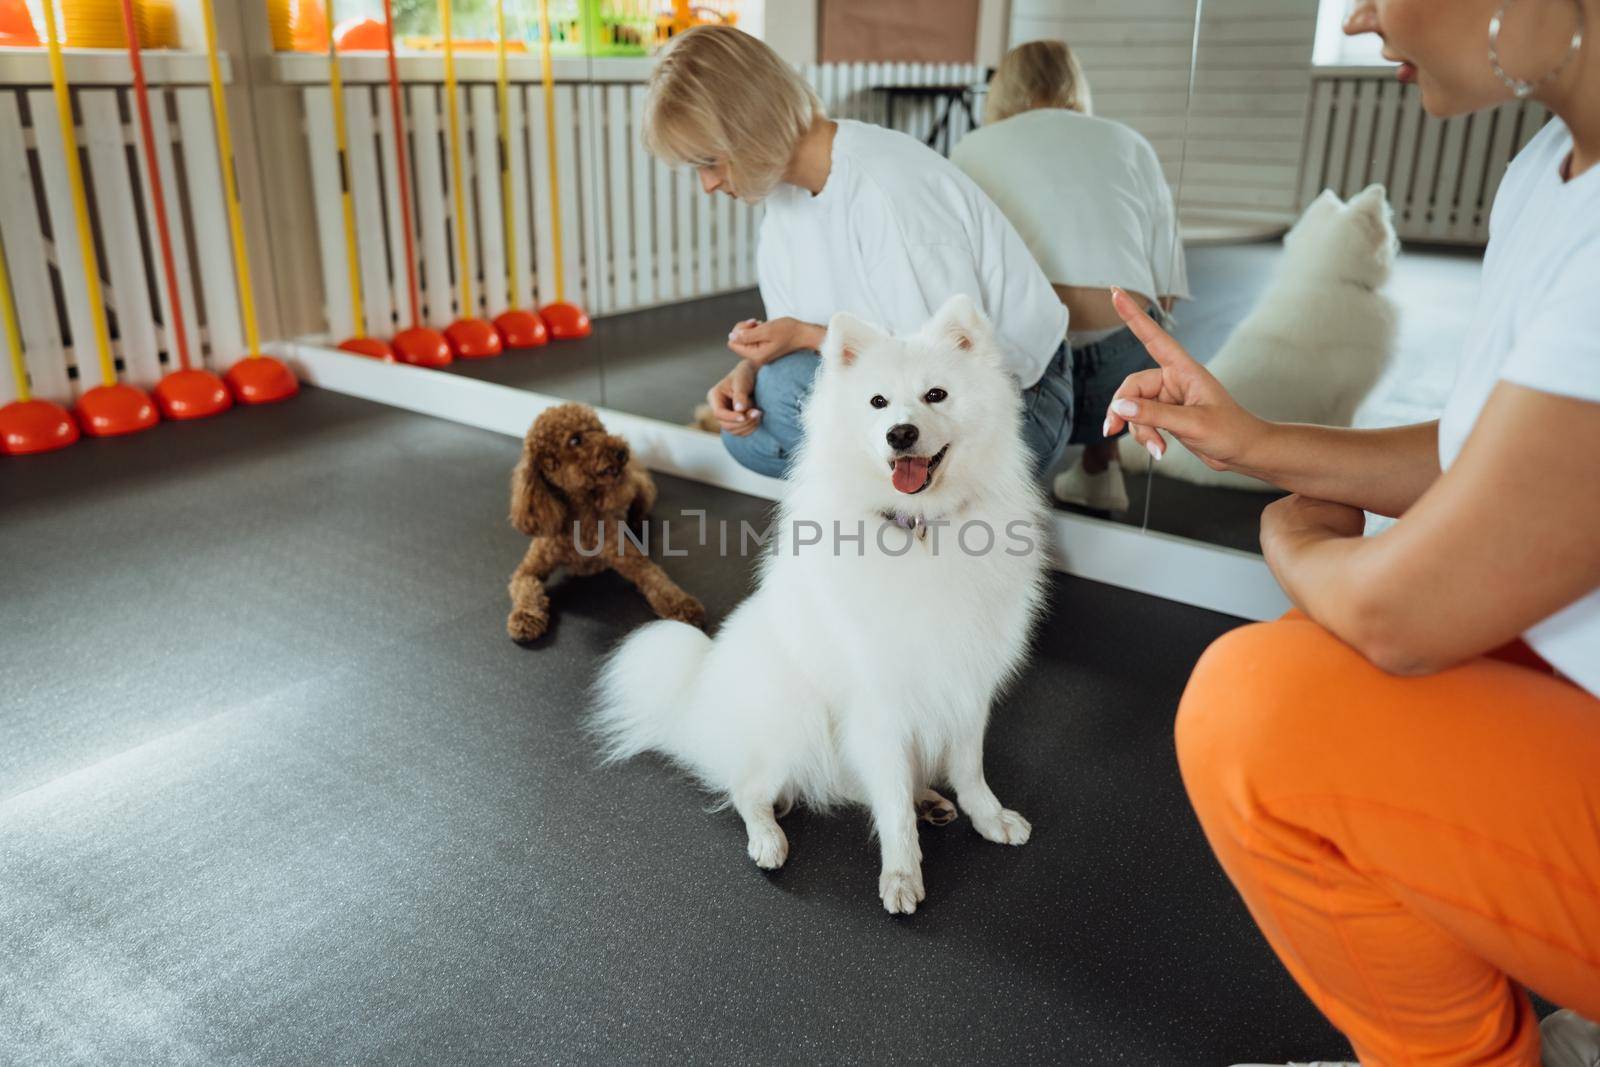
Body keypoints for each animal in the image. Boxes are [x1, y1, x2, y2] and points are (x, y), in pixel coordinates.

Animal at [598, 295, 1049, 915]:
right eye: (877, 402)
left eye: (936, 394)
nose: (900, 433)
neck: (918, 530)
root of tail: (693, 706)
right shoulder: (879, 697)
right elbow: (889, 801)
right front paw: (902, 874)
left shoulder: (966, 679)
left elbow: (969, 767)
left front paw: (988, 817)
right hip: (796, 716)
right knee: (749, 787)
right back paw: (769, 836)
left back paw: (929, 799)